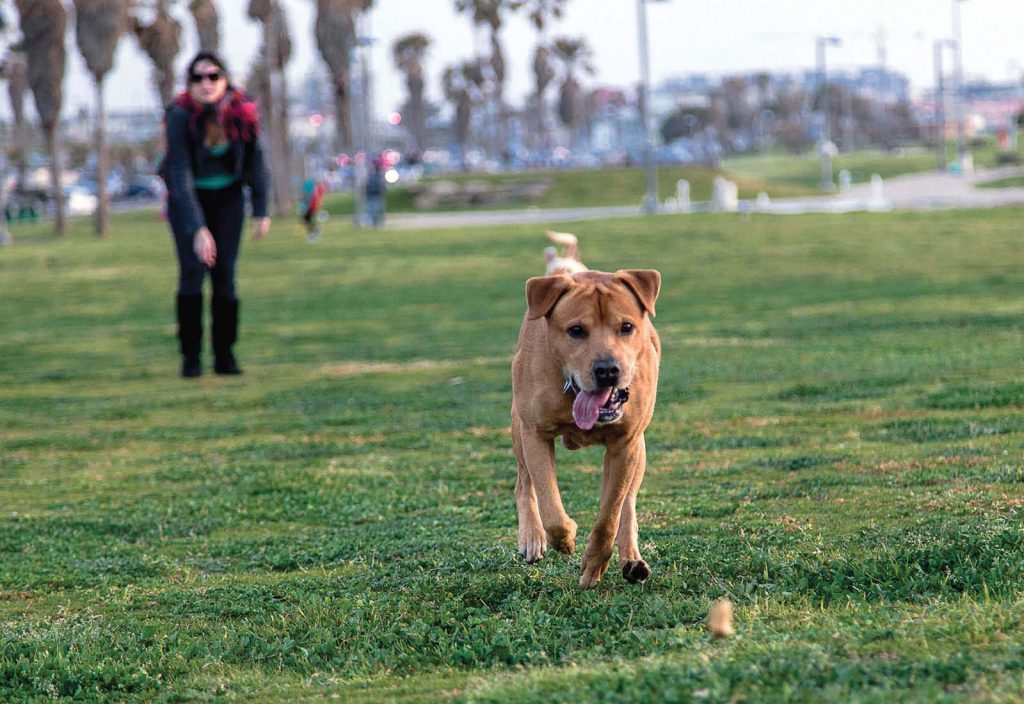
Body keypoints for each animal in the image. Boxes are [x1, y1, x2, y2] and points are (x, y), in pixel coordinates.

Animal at [512, 260, 663, 585]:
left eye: (627, 327)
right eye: (576, 330)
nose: (607, 370)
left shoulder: (625, 445)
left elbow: (610, 514)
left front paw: (594, 564)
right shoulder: (535, 434)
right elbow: (551, 507)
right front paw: (566, 538)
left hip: (639, 448)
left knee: (627, 505)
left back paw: (632, 560)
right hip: (517, 427)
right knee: (523, 483)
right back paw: (532, 537)